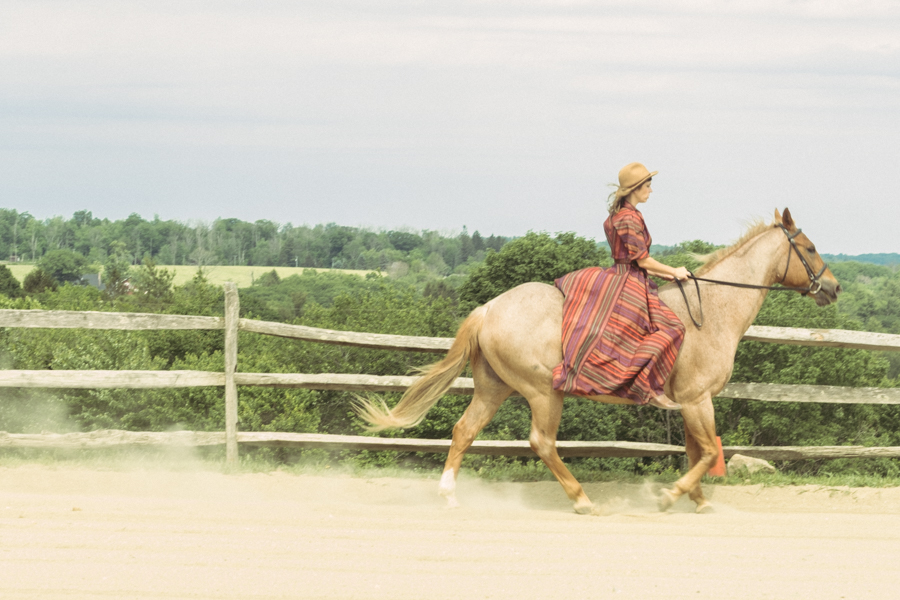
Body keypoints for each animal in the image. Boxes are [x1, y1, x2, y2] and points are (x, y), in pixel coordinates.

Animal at [356, 209, 840, 512]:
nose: (833, 288)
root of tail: (489, 309)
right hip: (542, 392)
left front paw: (699, 502)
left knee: (464, 431)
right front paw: (671, 497)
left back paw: (450, 496)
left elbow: (694, 451)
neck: (714, 311)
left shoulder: (691, 402)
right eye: (810, 247)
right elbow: (705, 452)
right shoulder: (698, 399)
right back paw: (582, 500)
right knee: (542, 442)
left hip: (494, 387)